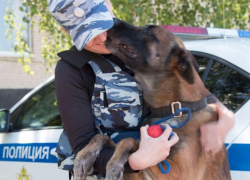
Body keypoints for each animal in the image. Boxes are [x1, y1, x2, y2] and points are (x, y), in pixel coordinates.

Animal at [73, 19, 230, 180]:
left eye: (148, 31)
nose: (114, 20)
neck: (176, 108)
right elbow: (103, 137)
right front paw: (84, 156)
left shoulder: (176, 172)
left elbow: (129, 141)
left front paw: (114, 163)